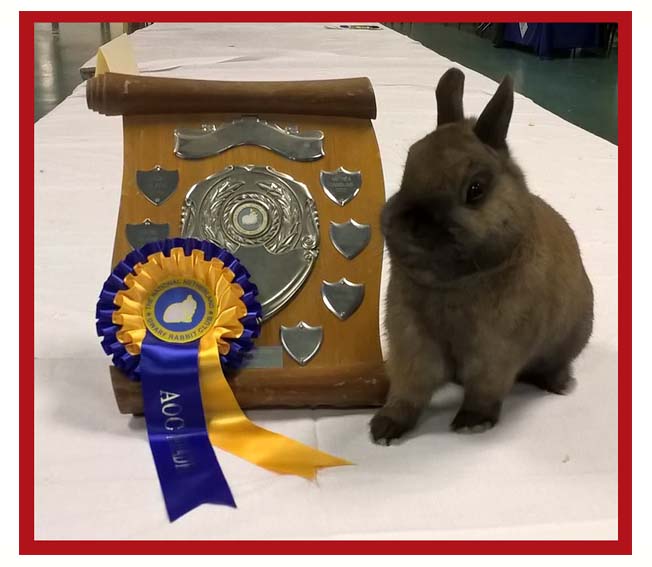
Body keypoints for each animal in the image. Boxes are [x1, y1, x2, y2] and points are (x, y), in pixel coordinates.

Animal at [370, 70, 592, 444]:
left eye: (475, 189)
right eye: (407, 169)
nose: (415, 225)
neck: (453, 285)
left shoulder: (496, 352)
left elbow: (485, 390)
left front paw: (471, 423)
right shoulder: (412, 342)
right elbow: (409, 390)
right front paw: (385, 428)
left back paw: (559, 384)